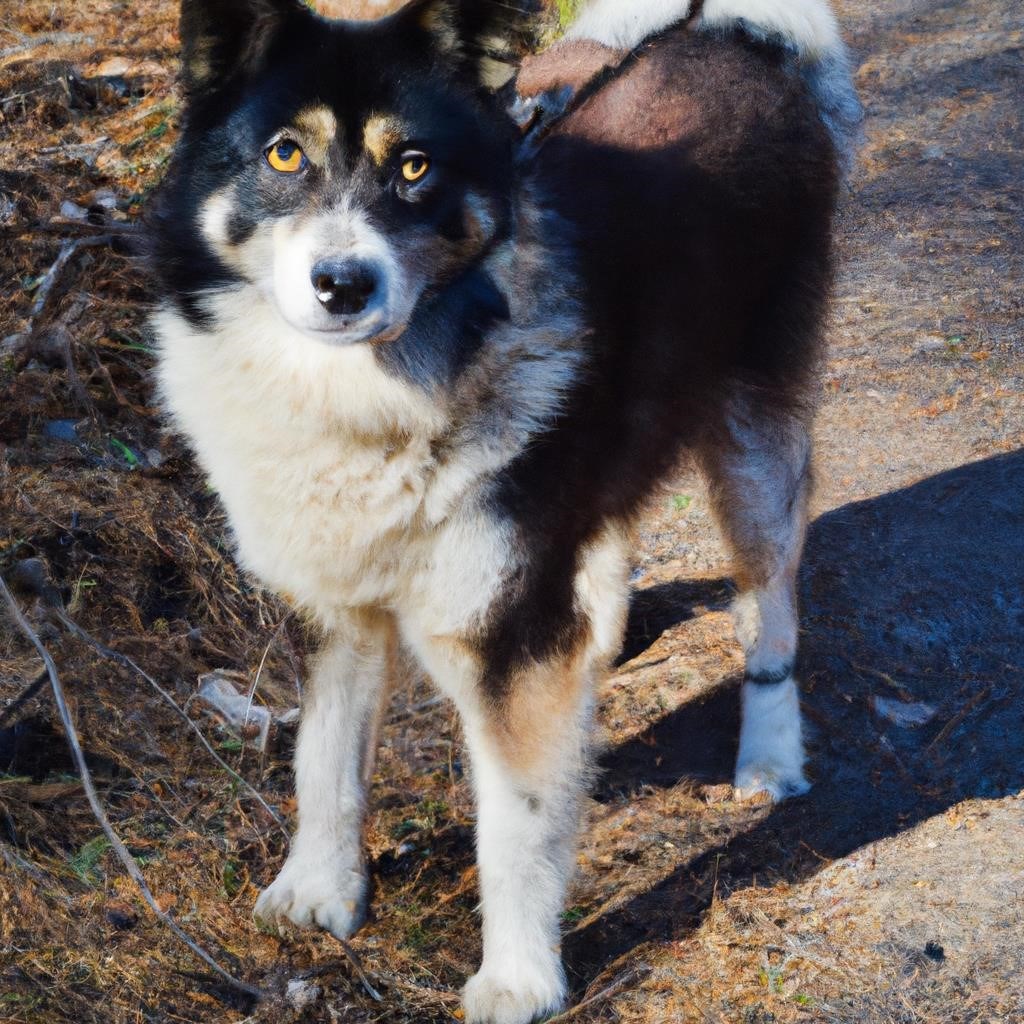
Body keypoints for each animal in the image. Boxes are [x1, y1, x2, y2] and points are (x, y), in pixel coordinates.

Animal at [148, 0, 860, 1019]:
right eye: (284, 155)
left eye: (415, 168)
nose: (344, 284)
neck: (378, 394)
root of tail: (733, 38)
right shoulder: (338, 606)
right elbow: (324, 757)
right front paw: (323, 888)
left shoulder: (510, 640)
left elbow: (516, 826)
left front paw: (519, 974)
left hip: (753, 447)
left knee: (771, 607)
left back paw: (768, 756)